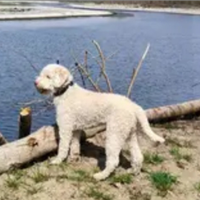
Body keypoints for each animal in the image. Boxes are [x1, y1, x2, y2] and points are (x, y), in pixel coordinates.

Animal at [34, 64, 165, 181]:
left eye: (48, 76)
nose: (35, 82)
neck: (66, 92)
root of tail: (133, 106)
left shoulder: (65, 127)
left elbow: (63, 147)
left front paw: (57, 161)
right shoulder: (76, 129)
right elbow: (75, 145)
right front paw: (74, 159)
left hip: (115, 133)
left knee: (114, 160)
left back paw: (101, 176)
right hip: (129, 133)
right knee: (138, 156)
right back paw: (133, 171)